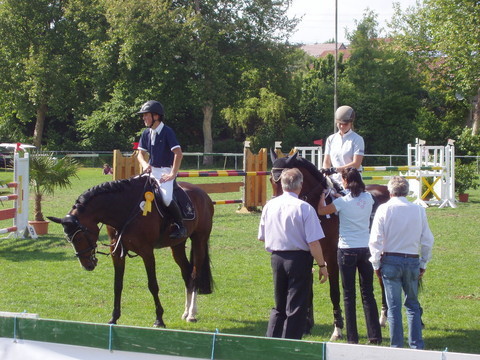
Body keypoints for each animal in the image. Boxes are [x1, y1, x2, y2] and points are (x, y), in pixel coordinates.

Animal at [48, 176, 214, 328]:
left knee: (195, 274)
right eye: (68, 239)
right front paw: (114, 318)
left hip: (199, 240)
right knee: (187, 274)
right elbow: (117, 285)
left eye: (80, 237)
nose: (87, 265)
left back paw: (192, 314)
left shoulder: (147, 252)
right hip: (177, 245)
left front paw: (159, 319)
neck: (125, 210)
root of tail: (203, 193)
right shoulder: (116, 253)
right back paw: (186, 312)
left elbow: (153, 285)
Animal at [270, 152, 390, 340]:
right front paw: (306, 325)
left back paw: (384, 317)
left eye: (283, 181)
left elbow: (334, 292)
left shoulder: (332, 258)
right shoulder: (309, 255)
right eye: (271, 180)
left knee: (383, 281)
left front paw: (338, 329)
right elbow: (308, 290)